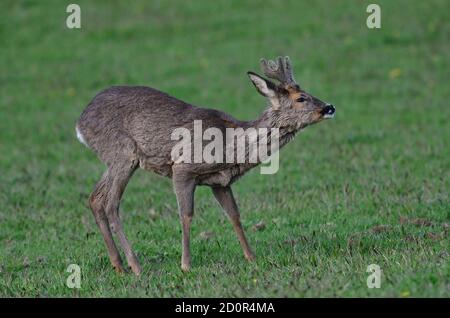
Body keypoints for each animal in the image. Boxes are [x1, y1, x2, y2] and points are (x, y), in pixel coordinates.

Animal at [75, 56, 334, 274]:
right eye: (300, 98)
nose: (329, 107)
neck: (231, 146)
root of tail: (80, 123)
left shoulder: (220, 182)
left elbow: (234, 215)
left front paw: (251, 257)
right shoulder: (182, 168)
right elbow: (186, 214)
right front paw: (185, 264)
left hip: (114, 159)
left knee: (95, 198)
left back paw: (118, 265)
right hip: (123, 153)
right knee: (111, 203)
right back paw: (135, 266)